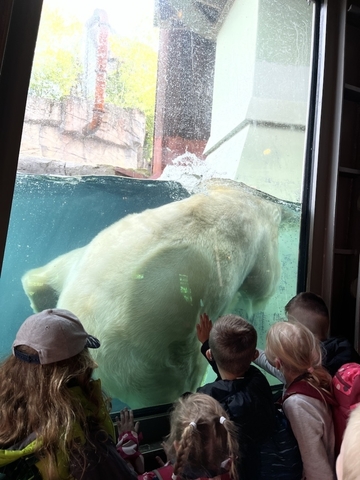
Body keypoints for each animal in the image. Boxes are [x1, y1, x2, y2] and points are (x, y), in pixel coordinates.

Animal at [21, 182, 282, 406]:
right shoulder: (257, 239)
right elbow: (262, 285)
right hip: (156, 372)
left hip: (86, 258)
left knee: (49, 272)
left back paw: (39, 296)